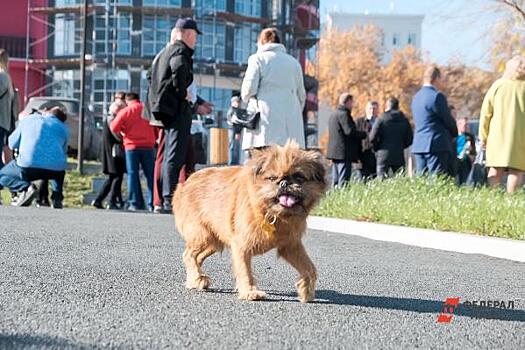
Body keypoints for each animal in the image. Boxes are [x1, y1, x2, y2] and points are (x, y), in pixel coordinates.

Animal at [174, 141, 326, 302]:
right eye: (272, 178)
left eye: (299, 177)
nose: (284, 183)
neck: (273, 213)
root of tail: (185, 183)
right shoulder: (241, 246)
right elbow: (244, 270)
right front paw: (250, 292)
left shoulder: (291, 246)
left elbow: (309, 268)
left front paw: (306, 289)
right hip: (203, 236)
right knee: (189, 255)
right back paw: (197, 278)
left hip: (214, 241)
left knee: (197, 257)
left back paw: (195, 278)